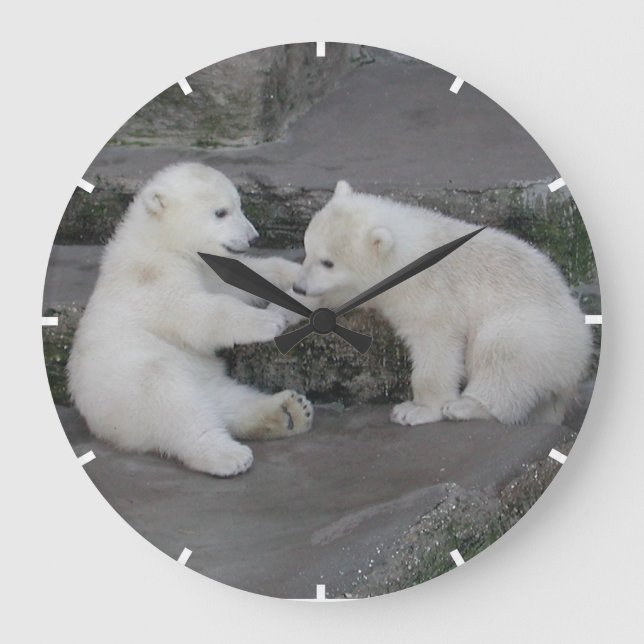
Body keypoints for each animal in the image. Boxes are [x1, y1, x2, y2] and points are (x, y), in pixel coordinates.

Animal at [67, 163, 313, 476]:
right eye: (221, 212)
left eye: (239, 205)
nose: (253, 237)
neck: (161, 239)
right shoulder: (154, 278)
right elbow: (196, 313)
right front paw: (269, 321)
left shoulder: (206, 268)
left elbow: (243, 278)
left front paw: (299, 276)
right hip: (132, 384)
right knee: (175, 404)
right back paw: (227, 455)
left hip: (204, 378)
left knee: (227, 400)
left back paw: (290, 412)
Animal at [293, 180, 592, 426]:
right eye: (307, 248)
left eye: (328, 262)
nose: (300, 286)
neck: (407, 254)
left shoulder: (430, 294)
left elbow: (435, 345)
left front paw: (415, 410)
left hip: (536, 329)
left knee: (502, 352)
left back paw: (466, 406)